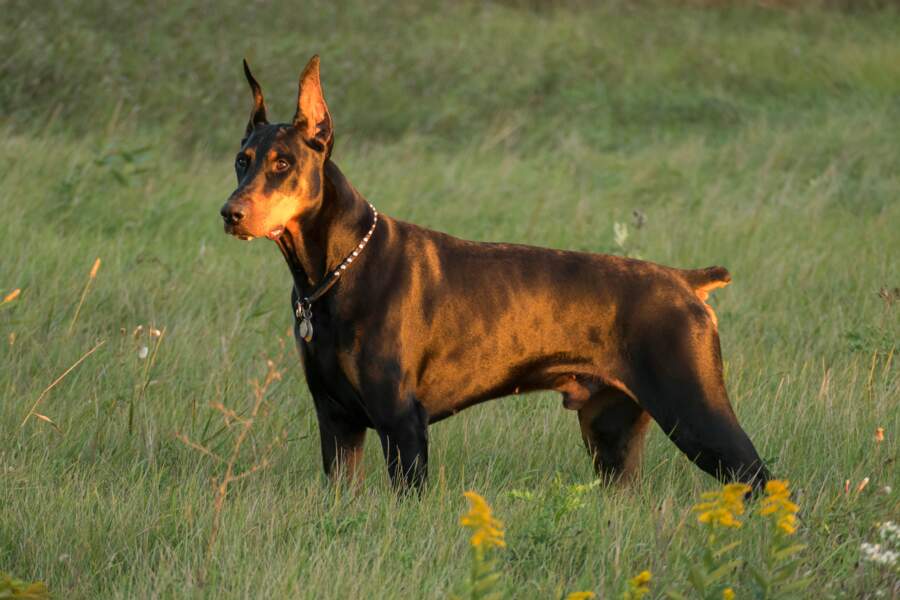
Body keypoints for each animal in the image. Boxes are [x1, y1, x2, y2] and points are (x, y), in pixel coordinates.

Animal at [221, 54, 768, 490]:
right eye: (242, 161)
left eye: (283, 163)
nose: (230, 213)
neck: (334, 270)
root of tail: (686, 281)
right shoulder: (337, 422)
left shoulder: (403, 424)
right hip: (610, 433)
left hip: (697, 414)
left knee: (761, 479)